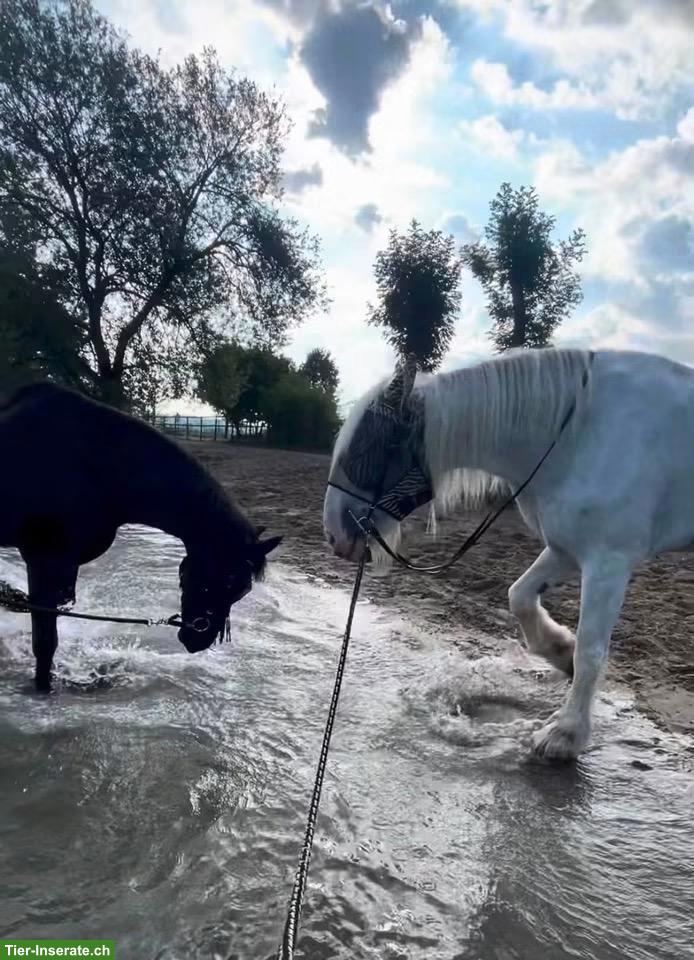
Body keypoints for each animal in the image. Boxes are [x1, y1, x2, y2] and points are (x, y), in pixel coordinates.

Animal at [323, 348, 694, 761]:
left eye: (369, 446)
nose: (334, 534)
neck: (579, 433)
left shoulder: (608, 562)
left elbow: (591, 650)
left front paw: (565, 734)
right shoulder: (565, 549)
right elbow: (520, 597)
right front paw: (560, 650)